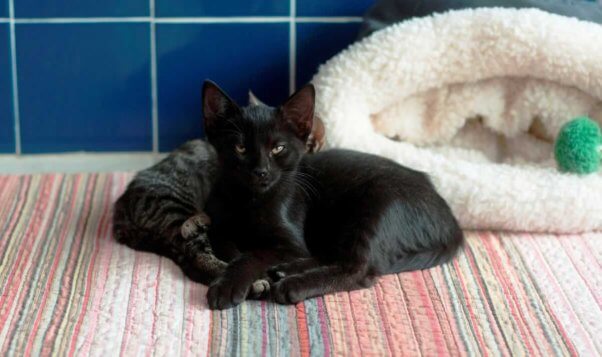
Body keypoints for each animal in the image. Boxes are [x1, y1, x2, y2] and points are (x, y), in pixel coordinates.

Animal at [202, 80, 464, 308]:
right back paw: (285, 271)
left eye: (278, 148)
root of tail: (450, 220)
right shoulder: (216, 225)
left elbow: (253, 254)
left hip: (377, 206)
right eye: (240, 148)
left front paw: (228, 285)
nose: (261, 171)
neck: (249, 200)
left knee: (358, 270)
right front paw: (246, 276)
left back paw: (292, 284)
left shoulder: (292, 244)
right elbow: (226, 246)